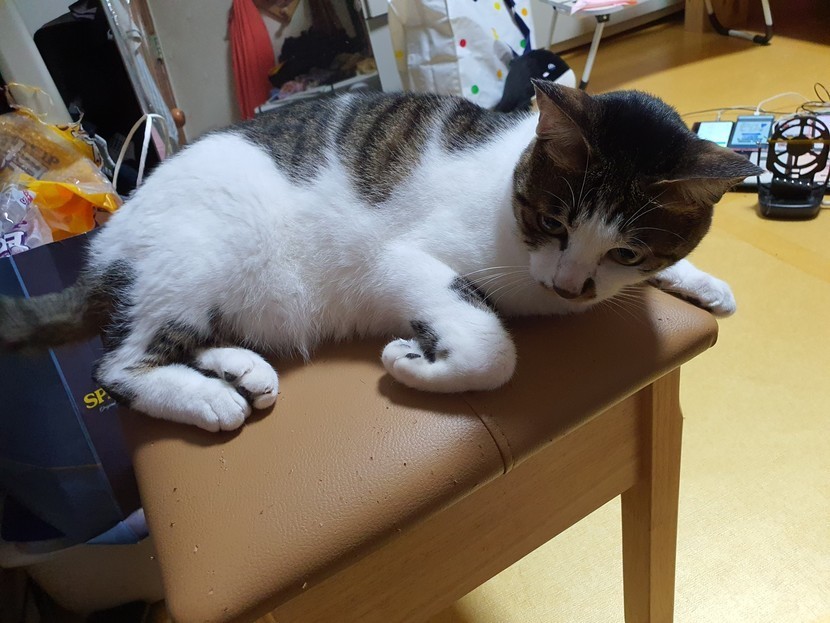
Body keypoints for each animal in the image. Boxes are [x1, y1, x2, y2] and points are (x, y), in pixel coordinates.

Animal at [0, 82, 762, 432]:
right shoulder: (402, 259)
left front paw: (704, 282)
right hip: (194, 259)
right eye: (553, 222)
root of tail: (106, 243)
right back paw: (208, 398)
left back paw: (240, 369)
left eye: (627, 249)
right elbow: (492, 347)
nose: (574, 287)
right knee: (120, 363)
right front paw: (417, 362)